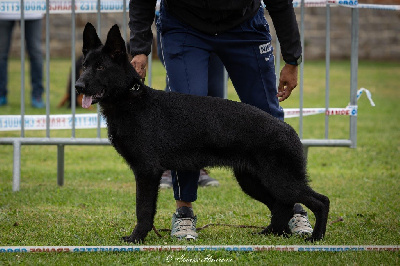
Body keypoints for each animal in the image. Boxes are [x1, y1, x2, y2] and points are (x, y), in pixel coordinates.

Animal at [76, 22, 330, 243]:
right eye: (85, 66)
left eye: (100, 67)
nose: (78, 86)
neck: (131, 100)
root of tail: (290, 131)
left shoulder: (147, 172)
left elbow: (144, 210)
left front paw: (136, 238)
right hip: (253, 181)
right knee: (282, 206)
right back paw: (272, 233)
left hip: (279, 181)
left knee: (320, 201)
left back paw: (316, 237)